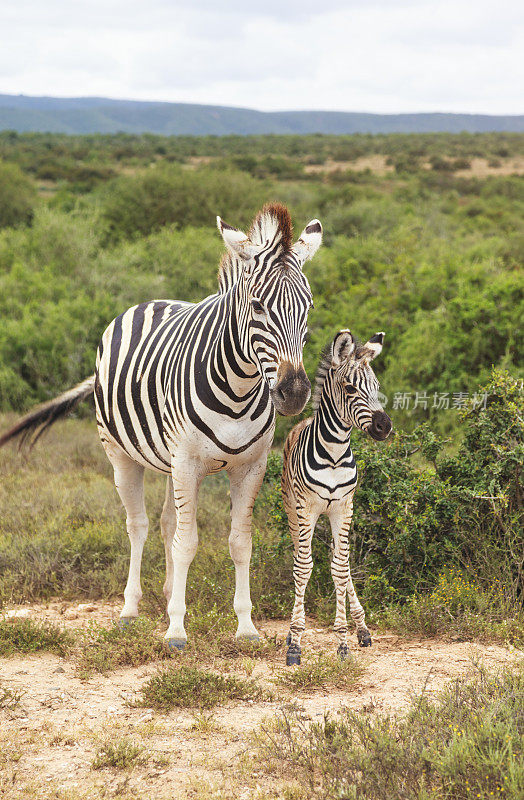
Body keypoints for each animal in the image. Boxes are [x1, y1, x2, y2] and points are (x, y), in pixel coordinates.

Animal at [280, 328, 390, 664]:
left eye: (377, 388)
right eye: (350, 388)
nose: (385, 426)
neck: (334, 454)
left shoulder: (344, 507)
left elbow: (341, 569)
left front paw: (344, 640)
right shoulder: (307, 509)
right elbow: (303, 568)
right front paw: (295, 643)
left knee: (338, 561)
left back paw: (362, 629)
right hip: (293, 513)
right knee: (299, 557)